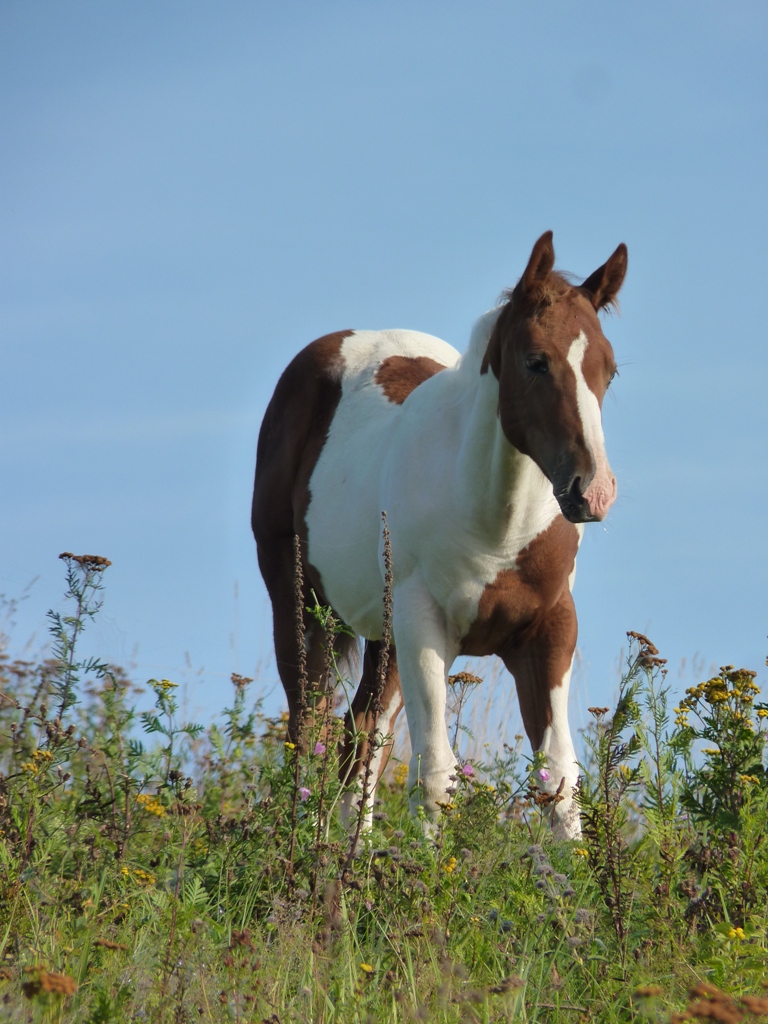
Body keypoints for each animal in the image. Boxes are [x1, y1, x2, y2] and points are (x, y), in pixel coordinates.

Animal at [256, 234, 626, 839]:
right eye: (536, 362)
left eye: (609, 370)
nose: (592, 491)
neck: (498, 529)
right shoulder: (424, 623)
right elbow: (435, 779)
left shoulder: (549, 632)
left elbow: (560, 781)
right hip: (301, 604)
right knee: (308, 728)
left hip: (384, 637)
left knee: (362, 736)